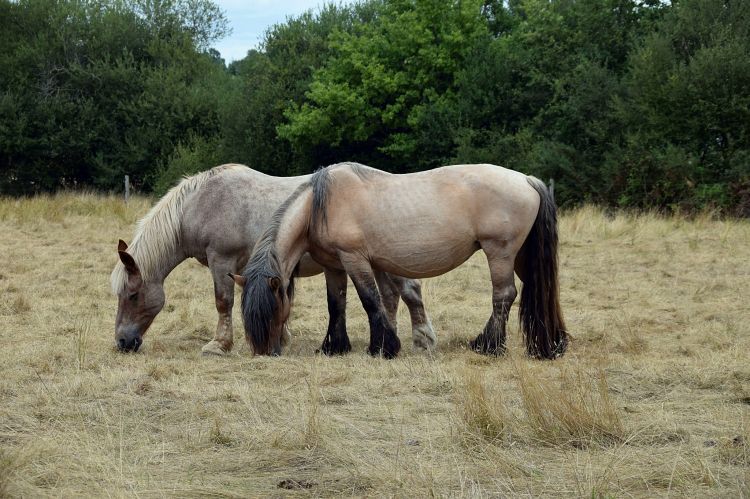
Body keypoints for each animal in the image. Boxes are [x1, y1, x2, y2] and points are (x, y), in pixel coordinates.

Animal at [112, 166, 438, 358]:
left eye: (132, 295)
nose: (123, 342)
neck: (201, 203)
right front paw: (280, 335)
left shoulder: (222, 261)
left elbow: (223, 302)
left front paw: (220, 344)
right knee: (392, 296)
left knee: (409, 292)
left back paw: (422, 341)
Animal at [235, 163, 568, 360]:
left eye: (270, 310)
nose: (265, 352)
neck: (320, 206)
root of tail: (527, 180)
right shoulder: (336, 265)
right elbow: (340, 304)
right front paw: (336, 346)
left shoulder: (354, 259)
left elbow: (370, 300)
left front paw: (381, 347)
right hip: (523, 257)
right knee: (539, 291)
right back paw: (550, 345)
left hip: (500, 252)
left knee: (504, 296)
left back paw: (488, 345)